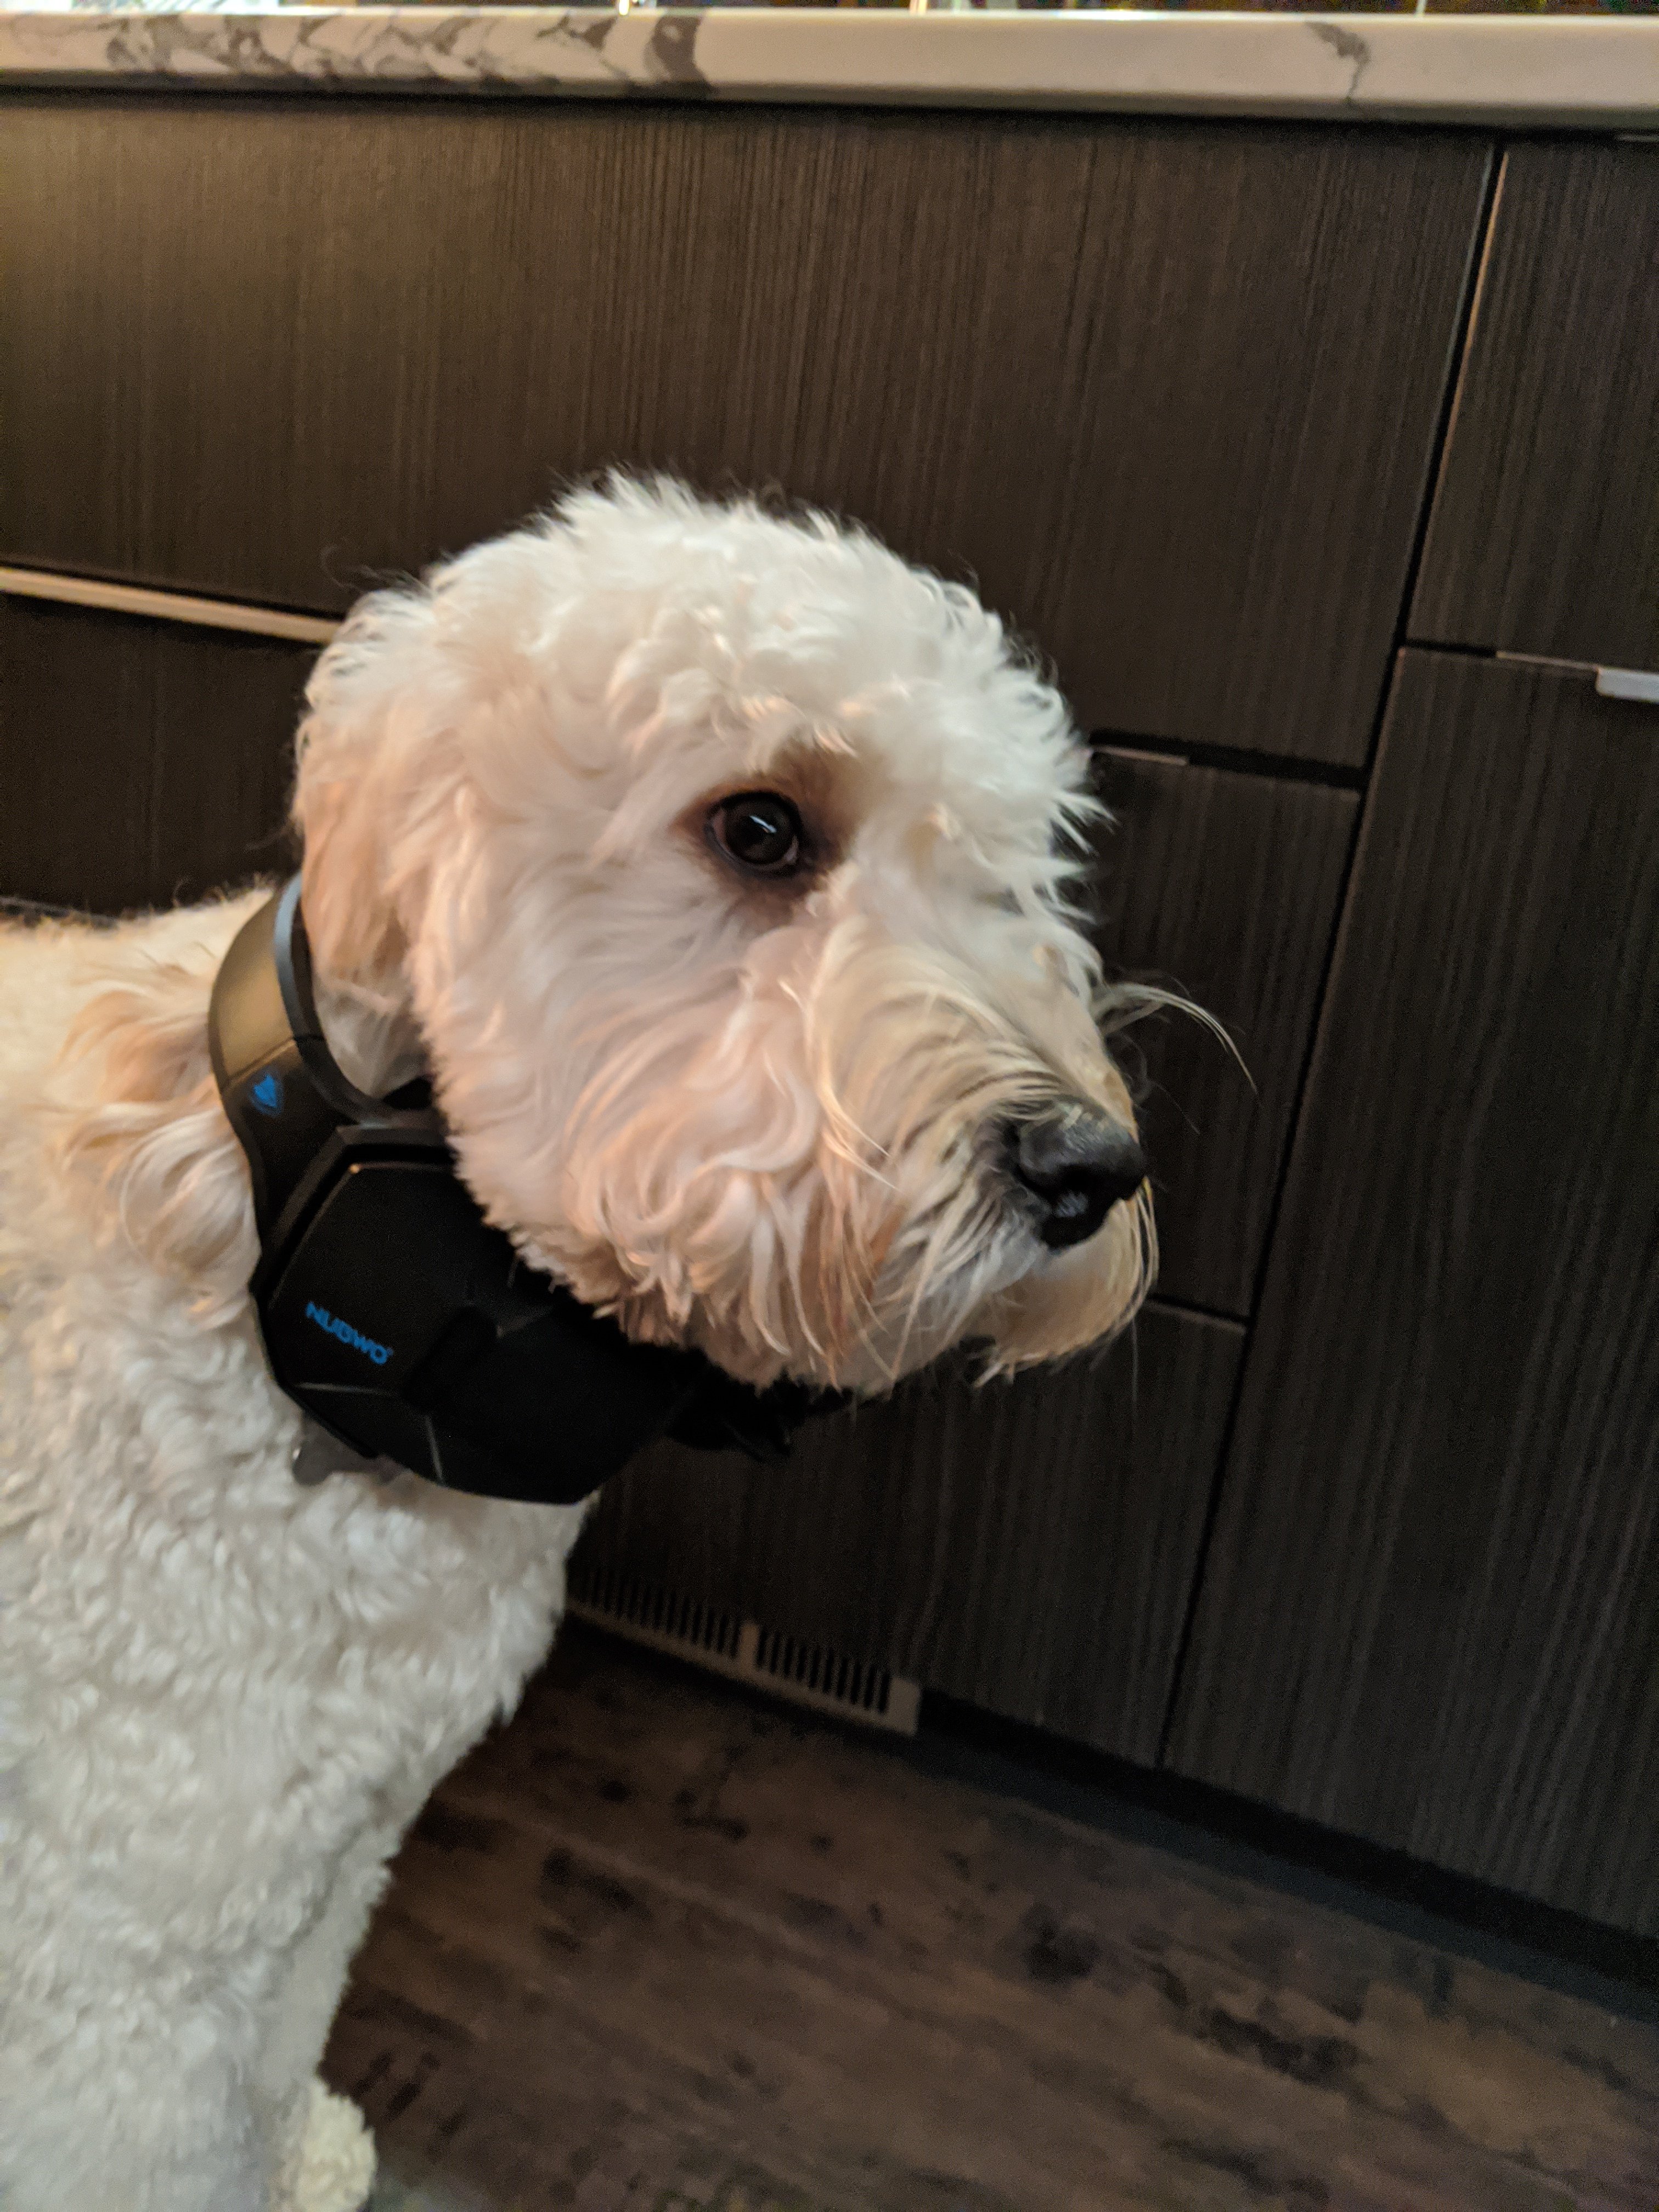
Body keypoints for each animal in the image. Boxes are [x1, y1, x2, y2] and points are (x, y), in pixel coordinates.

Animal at [0, 478, 1154, 2212]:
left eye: (1018, 869)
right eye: (761, 829)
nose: (1093, 1169)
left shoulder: (323, 1862)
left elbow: (274, 2051)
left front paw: (297, 2162)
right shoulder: (109, 1976)